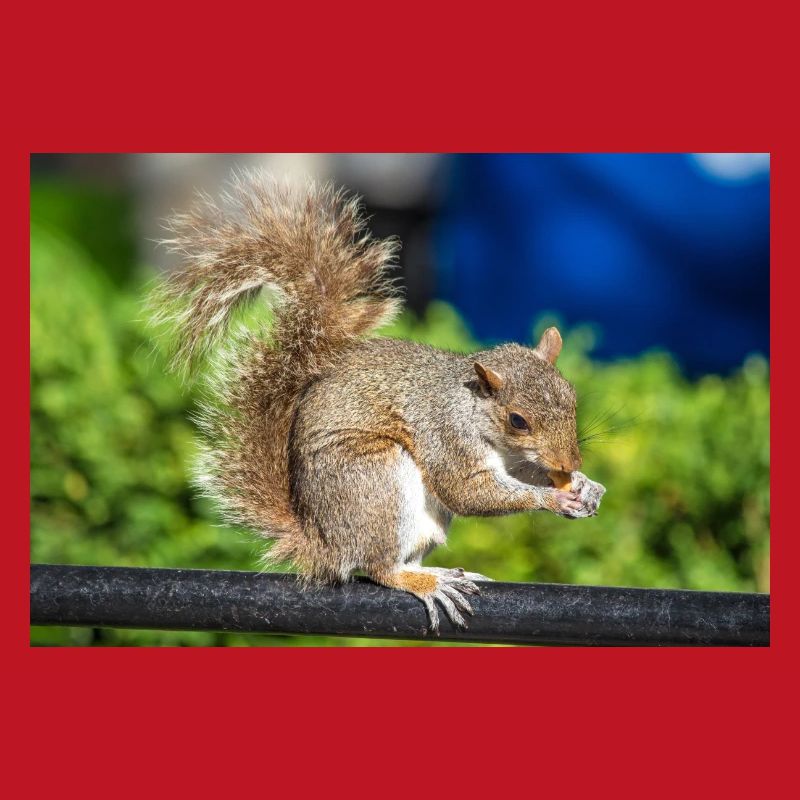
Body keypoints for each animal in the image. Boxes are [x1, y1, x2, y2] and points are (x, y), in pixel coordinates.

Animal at [150, 169, 606, 632]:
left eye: (571, 396)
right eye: (517, 420)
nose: (571, 462)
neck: (474, 410)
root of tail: (324, 544)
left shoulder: (514, 459)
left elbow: (521, 474)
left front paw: (584, 485)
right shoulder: (446, 435)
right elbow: (466, 491)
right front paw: (555, 498)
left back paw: (436, 572)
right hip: (376, 479)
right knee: (380, 567)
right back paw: (424, 582)